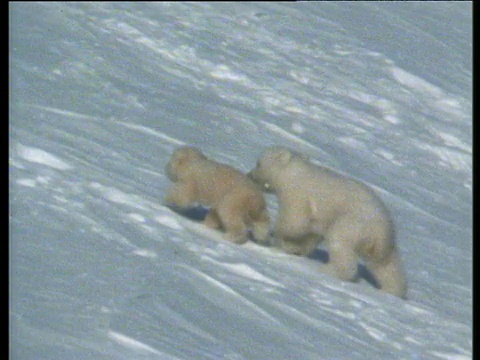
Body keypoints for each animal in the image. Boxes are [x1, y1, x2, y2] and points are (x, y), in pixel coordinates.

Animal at [248, 146, 408, 298]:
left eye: (258, 163)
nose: (250, 175)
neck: (293, 171)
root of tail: (381, 231)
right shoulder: (318, 218)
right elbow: (311, 234)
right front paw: (296, 248)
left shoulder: (298, 195)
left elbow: (295, 221)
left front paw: (277, 237)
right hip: (383, 245)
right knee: (386, 265)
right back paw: (392, 290)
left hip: (353, 223)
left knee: (340, 243)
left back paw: (328, 269)